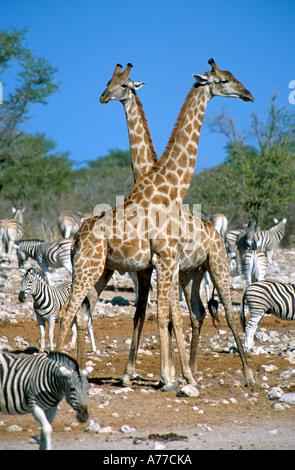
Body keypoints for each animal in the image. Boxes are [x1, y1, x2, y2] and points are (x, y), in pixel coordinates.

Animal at [56, 57, 256, 390]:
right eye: (223, 81)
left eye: (121, 84)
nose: (248, 95)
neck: (168, 187)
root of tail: (76, 240)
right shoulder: (162, 260)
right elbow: (161, 316)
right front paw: (167, 377)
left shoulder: (163, 264)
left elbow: (163, 316)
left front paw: (171, 375)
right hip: (95, 268)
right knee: (66, 313)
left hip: (138, 270)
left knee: (205, 313)